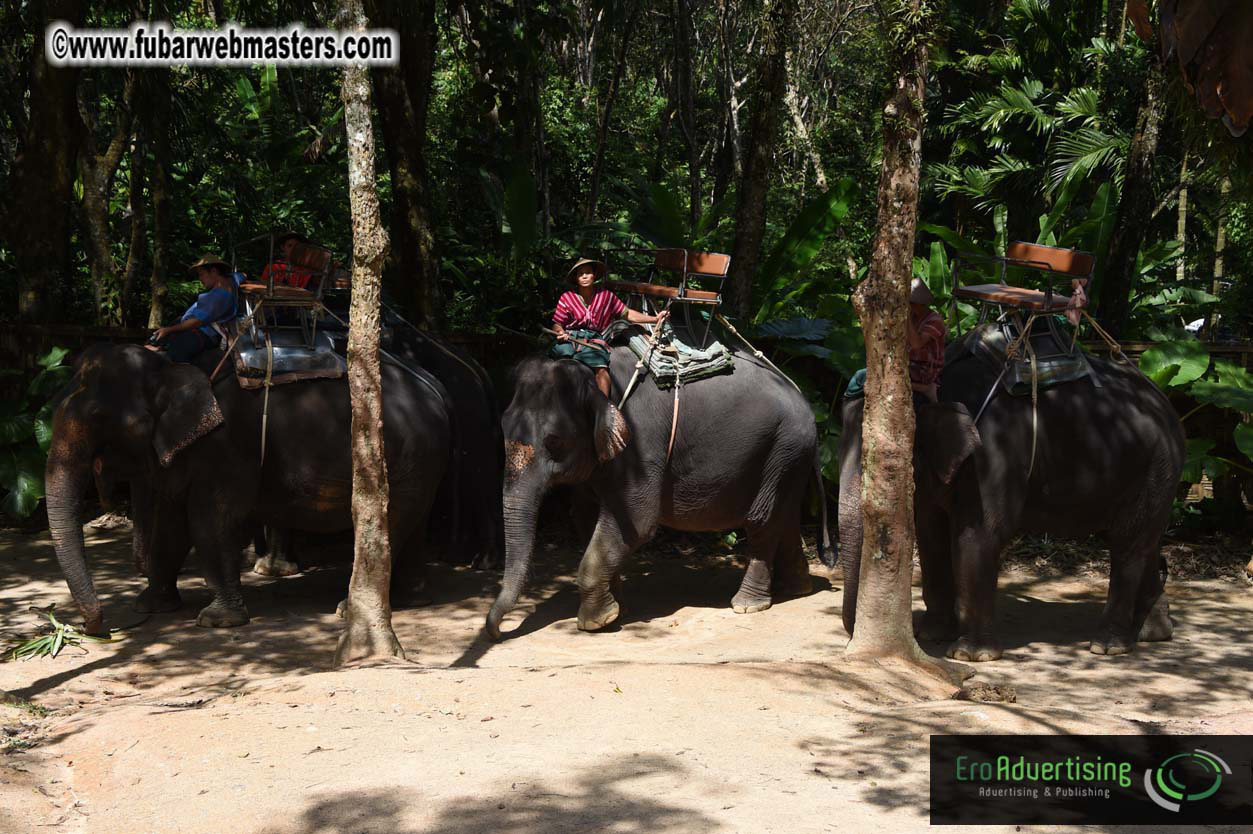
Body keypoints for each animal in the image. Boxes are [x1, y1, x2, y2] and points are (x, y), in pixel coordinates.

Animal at [45, 342, 453, 634]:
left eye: (97, 417)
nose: (98, 628)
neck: (172, 366)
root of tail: (436, 390)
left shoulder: (226, 447)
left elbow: (210, 521)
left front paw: (216, 621)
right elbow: (173, 524)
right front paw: (150, 606)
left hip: (402, 458)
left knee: (389, 524)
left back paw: (348, 609)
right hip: (418, 464)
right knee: (412, 523)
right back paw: (410, 597)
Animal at [485, 328, 830, 640]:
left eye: (554, 441)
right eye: (502, 426)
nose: (496, 632)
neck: (596, 375)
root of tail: (804, 400)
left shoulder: (642, 445)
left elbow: (637, 523)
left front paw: (595, 622)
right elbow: (585, 519)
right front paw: (618, 610)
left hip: (783, 448)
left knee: (763, 522)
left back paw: (748, 604)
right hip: (788, 459)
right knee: (785, 516)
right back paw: (796, 588)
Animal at [838, 324, 1185, 661]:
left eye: (889, 462)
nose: (854, 638)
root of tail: (1166, 401)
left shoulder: (994, 456)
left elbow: (978, 535)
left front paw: (971, 655)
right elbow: (930, 534)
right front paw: (932, 635)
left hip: (1155, 463)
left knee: (1128, 544)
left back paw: (1109, 645)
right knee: (1145, 540)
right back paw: (1153, 632)